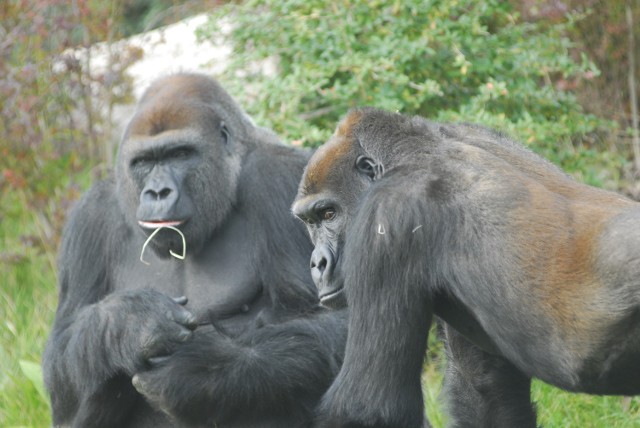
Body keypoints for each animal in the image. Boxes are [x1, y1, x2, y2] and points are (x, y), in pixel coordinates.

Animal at [42, 73, 348, 428]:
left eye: (180, 154)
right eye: (144, 162)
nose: (158, 192)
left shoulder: (281, 178)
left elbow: (336, 317)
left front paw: (203, 372)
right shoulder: (90, 217)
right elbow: (63, 364)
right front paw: (128, 323)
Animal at [294, 108, 640, 428]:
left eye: (328, 214)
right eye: (309, 221)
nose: (317, 263)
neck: (416, 149)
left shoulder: (386, 213)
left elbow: (367, 406)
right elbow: (485, 386)